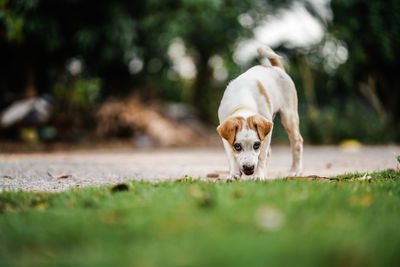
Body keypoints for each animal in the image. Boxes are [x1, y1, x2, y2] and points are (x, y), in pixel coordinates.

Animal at [219, 45, 304, 180]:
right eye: (237, 146)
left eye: (256, 145)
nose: (248, 168)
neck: (243, 99)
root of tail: (277, 68)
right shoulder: (225, 134)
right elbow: (230, 155)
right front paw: (234, 173)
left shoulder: (266, 135)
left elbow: (262, 156)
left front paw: (259, 175)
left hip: (289, 116)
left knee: (297, 142)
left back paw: (295, 171)